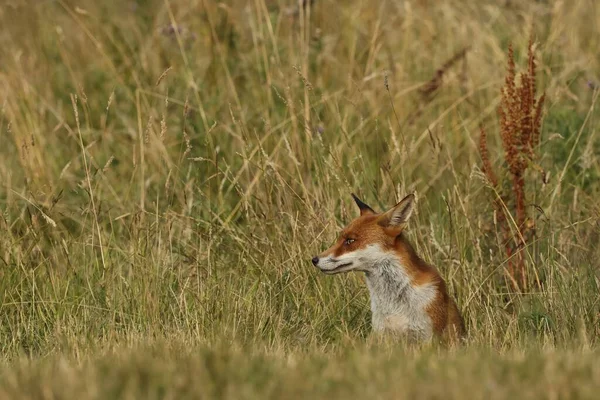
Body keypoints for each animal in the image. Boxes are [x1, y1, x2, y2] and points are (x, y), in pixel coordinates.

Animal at [312, 193, 466, 340]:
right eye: (339, 239)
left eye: (350, 241)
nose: (314, 260)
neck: (394, 306)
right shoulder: (382, 334)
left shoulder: (428, 336)